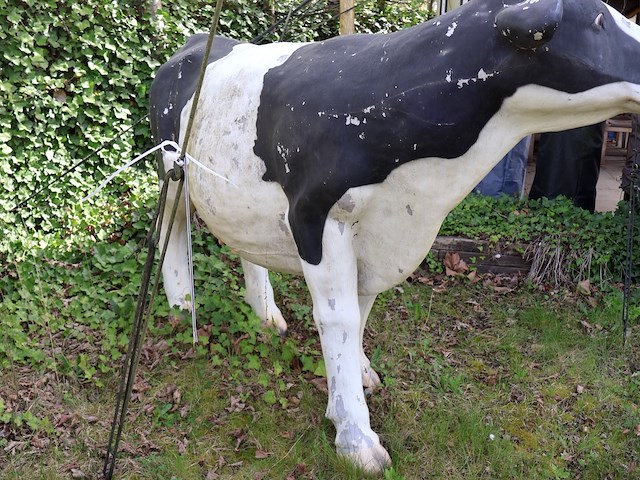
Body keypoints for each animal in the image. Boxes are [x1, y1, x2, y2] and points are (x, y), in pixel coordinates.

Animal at [149, 0, 640, 472]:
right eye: (599, 21)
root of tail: (193, 43)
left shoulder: (379, 233)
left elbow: (363, 311)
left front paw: (360, 374)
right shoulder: (316, 215)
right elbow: (340, 319)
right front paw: (356, 437)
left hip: (235, 188)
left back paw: (266, 314)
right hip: (172, 168)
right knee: (170, 230)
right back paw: (182, 306)